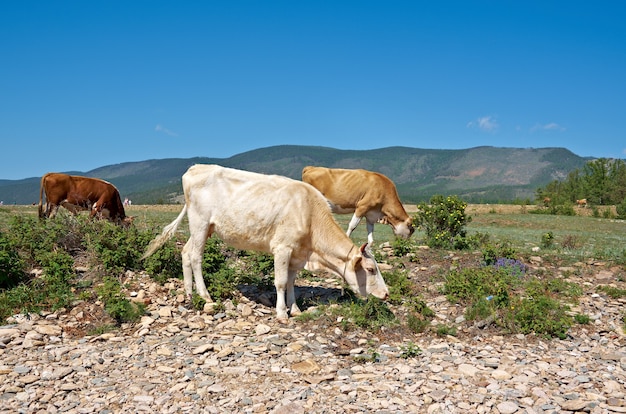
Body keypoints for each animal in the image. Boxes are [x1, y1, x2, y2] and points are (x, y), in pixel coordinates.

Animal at [141, 163, 388, 322]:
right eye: (370, 269)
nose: (386, 294)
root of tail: (194, 168)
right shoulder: (282, 248)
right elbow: (280, 282)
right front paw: (281, 313)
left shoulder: (297, 253)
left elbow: (292, 282)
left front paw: (295, 309)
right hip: (200, 222)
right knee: (195, 256)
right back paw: (204, 294)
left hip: (205, 227)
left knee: (185, 252)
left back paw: (189, 292)